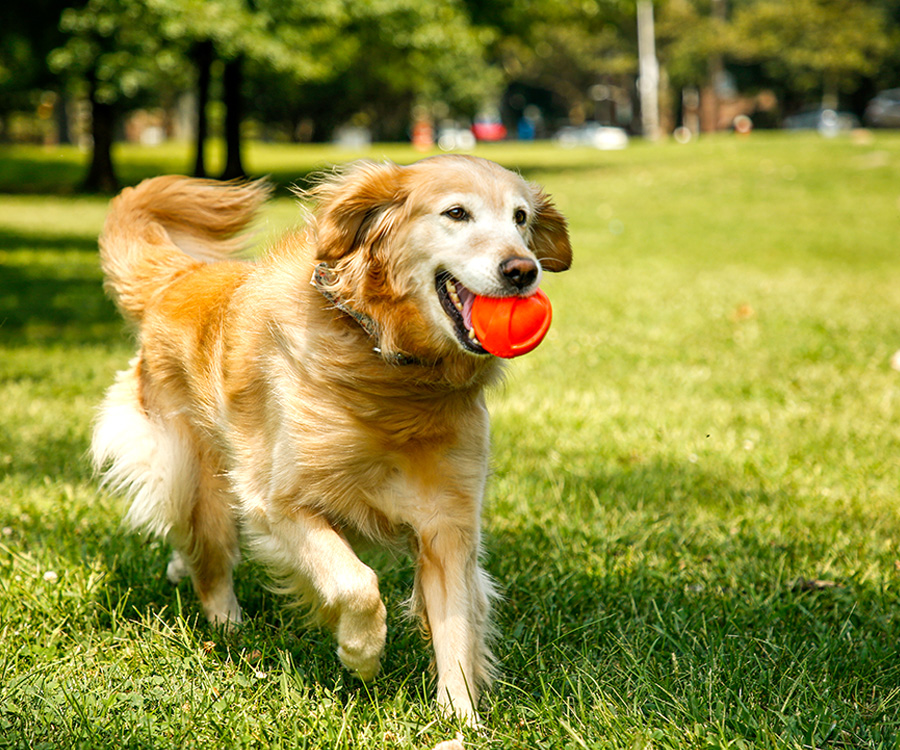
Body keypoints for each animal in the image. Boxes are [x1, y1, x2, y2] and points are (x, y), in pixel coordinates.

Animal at [91, 156, 568, 724]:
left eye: (520, 217)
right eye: (457, 213)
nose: (523, 271)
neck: (389, 368)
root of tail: (182, 275)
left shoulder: (448, 524)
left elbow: (455, 627)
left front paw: (459, 718)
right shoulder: (279, 503)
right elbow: (356, 582)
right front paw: (361, 652)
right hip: (196, 474)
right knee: (211, 560)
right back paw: (230, 627)